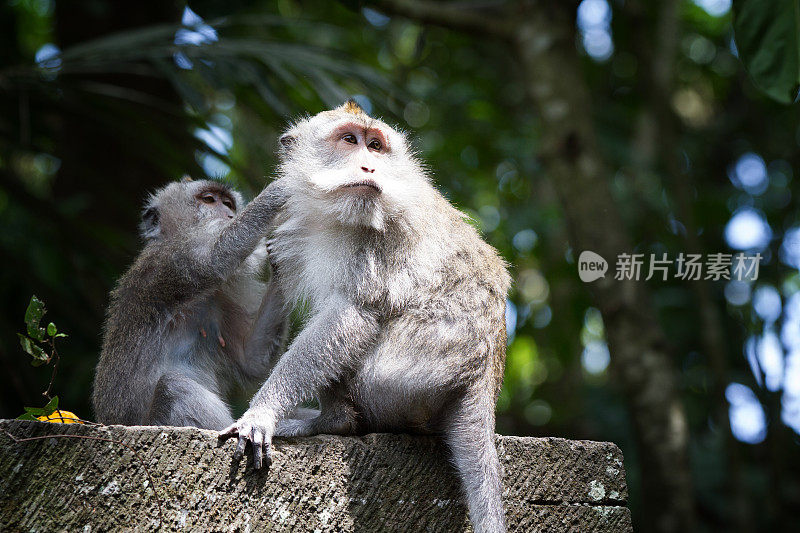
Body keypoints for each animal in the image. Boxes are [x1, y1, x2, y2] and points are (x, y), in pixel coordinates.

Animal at [94, 177, 288, 430]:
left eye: (228, 204)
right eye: (209, 199)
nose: (230, 215)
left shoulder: (224, 298)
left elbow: (252, 359)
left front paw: (280, 254)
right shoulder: (171, 261)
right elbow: (213, 260)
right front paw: (282, 188)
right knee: (174, 387)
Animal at [222, 101, 510, 532]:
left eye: (375, 146)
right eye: (349, 140)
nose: (369, 166)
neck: (333, 214)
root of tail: (484, 376)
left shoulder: (376, 238)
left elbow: (349, 317)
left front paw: (261, 414)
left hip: (407, 378)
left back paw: (333, 421)